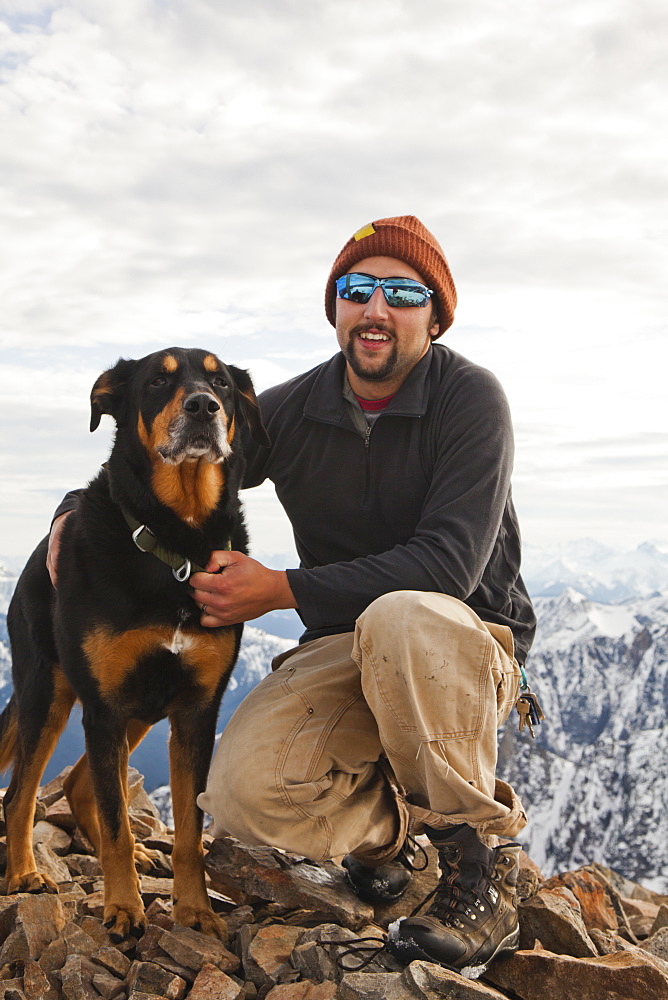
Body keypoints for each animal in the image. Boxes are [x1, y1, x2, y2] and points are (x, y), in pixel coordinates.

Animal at [0, 346, 268, 936]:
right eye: (156, 382)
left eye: (221, 381)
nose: (203, 406)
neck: (176, 544)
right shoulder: (103, 706)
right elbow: (117, 824)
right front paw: (123, 908)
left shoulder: (195, 709)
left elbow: (188, 828)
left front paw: (195, 911)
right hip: (48, 692)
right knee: (20, 796)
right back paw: (24, 874)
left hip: (142, 707)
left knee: (79, 785)